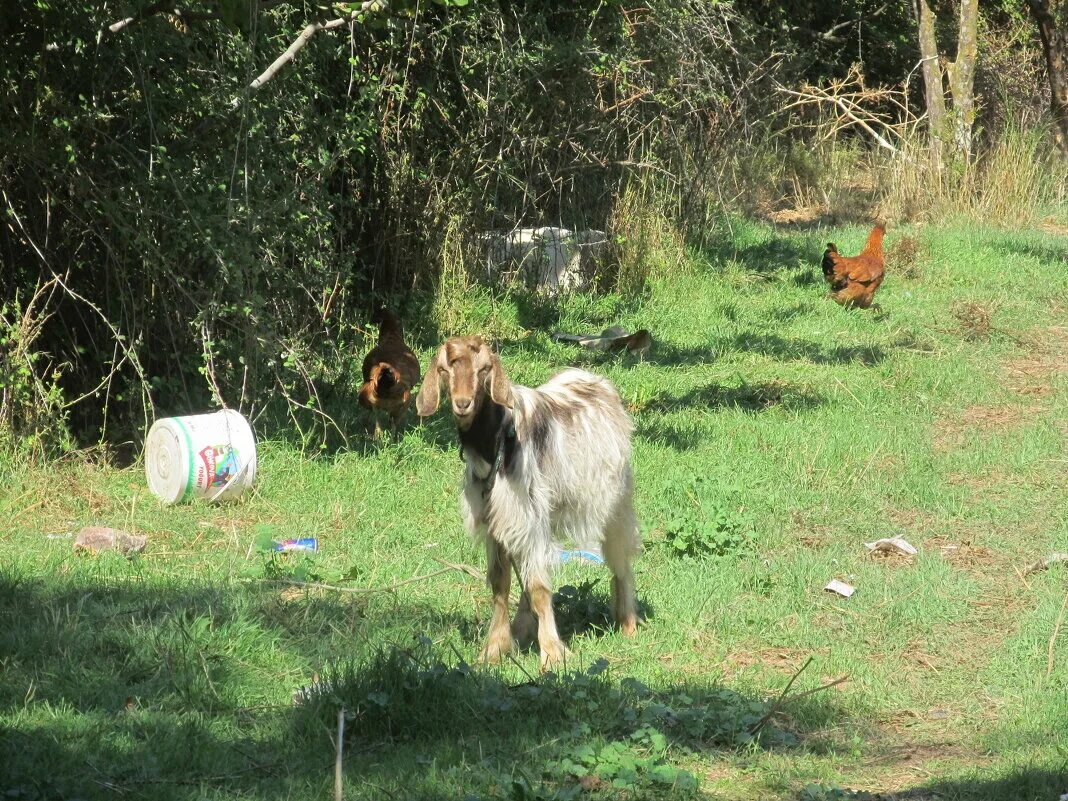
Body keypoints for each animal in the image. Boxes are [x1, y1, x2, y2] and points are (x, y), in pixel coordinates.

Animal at [412, 337, 636, 670]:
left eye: (484, 369)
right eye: (443, 369)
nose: (463, 404)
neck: (496, 440)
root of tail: (596, 381)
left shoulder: (528, 514)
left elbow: (540, 587)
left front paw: (553, 654)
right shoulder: (496, 520)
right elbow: (500, 583)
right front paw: (495, 649)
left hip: (615, 501)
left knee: (621, 557)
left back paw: (628, 622)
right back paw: (522, 626)